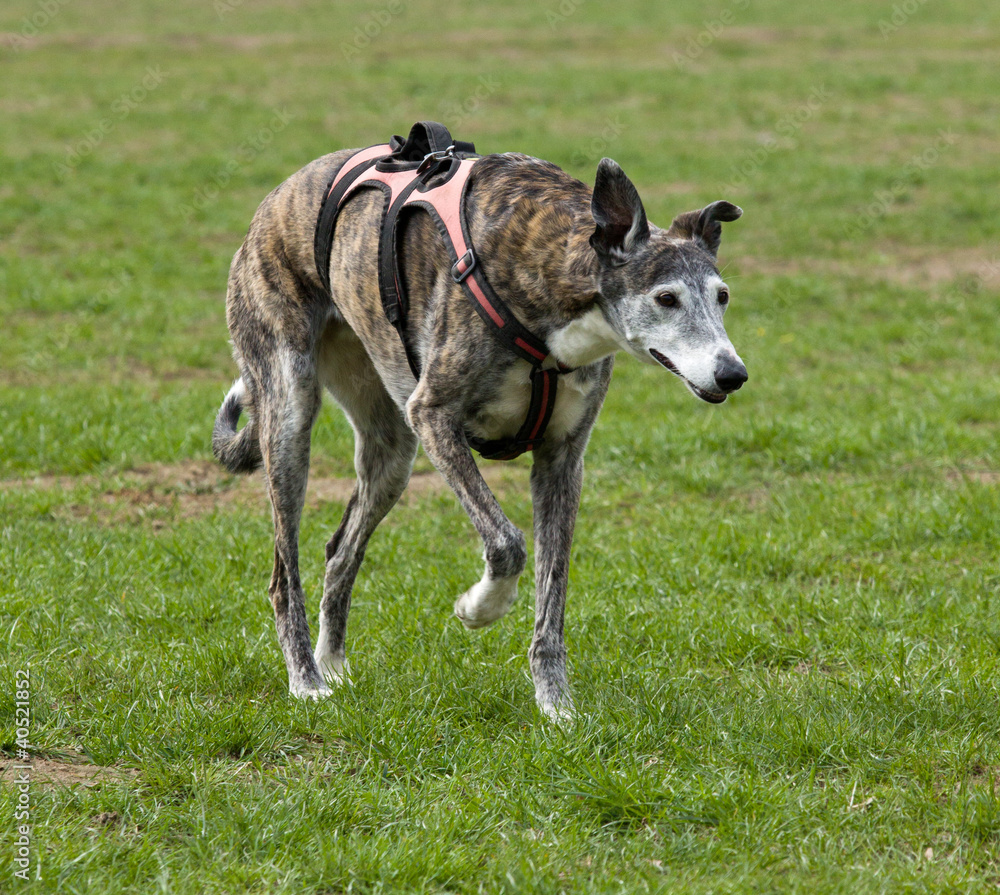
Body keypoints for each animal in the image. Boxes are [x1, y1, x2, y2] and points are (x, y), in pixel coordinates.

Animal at [211, 124, 748, 720]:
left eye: (723, 297)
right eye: (666, 298)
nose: (733, 374)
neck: (551, 276)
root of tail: (277, 198)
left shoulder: (562, 460)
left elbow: (552, 596)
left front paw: (556, 707)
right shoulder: (434, 416)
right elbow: (508, 542)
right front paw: (479, 607)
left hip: (391, 449)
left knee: (340, 551)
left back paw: (333, 665)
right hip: (290, 414)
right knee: (285, 575)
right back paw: (305, 679)